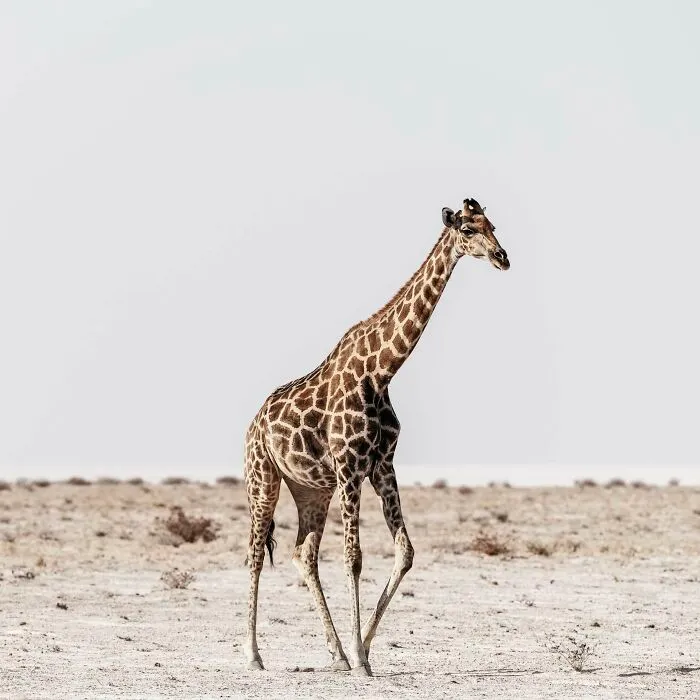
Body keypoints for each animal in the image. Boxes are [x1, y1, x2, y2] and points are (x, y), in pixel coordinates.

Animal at [243, 197, 509, 676]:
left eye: (492, 225)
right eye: (467, 230)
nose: (503, 257)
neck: (381, 371)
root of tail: (254, 422)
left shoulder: (382, 465)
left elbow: (404, 552)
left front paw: (361, 650)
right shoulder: (351, 467)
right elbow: (354, 557)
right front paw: (359, 654)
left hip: (312, 489)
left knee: (302, 555)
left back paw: (334, 654)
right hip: (263, 478)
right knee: (255, 554)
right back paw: (253, 655)